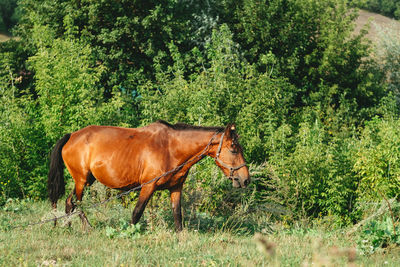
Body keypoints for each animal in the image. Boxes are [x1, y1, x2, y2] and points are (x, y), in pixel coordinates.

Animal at [47, 120, 250, 231]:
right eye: (234, 149)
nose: (245, 179)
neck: (170, 148)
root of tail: (72, 136)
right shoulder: (148, 186)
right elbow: (137, 212)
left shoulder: (176, 188)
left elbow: (177, 214)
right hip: (81, 180)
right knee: (77, 204)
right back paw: (86, 227)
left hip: (85, 180)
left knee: (69, 202)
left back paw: (68, 226)